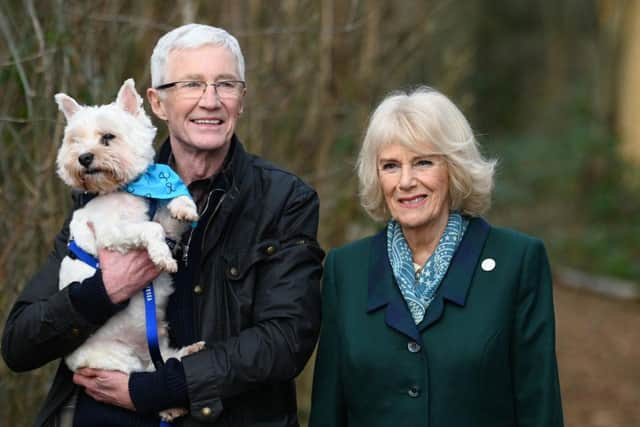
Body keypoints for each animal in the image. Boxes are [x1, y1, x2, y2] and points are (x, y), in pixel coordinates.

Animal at [57, 78, 204, 420]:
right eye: (74, 141)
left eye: (107, 137)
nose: (84, 157)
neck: (126, 188)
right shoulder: (113, 233)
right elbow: (151, 229)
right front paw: (162, 257)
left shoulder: (161, 214)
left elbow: (172, 209)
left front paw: (185, 207)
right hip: (117, 361)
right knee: (145, 378)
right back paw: (172, 406)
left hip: (159, 349)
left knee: (168, 364)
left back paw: (190, 352)